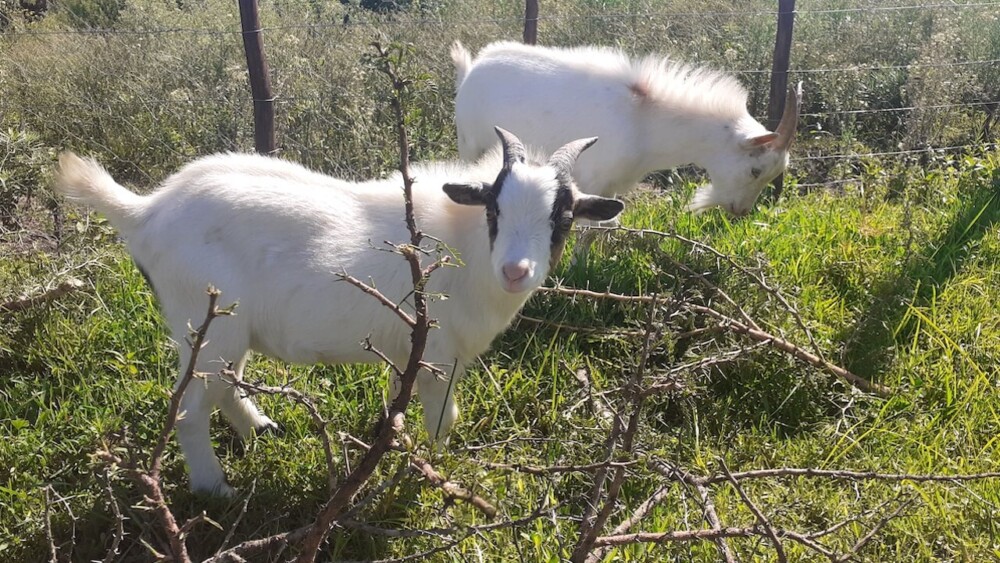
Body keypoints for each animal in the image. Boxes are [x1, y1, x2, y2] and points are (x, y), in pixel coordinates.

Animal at [56, 129, 624, 498]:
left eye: (563, 215)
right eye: (494, 209)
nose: (515, 271)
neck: (463, 249)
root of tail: (144, 212)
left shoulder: (409, 349)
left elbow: (401, 405)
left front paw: (398, 447)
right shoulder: (439, 354)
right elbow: (444, 420)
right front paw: (436, 470)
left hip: (227, 330)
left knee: (227, 386)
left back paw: (261, 429)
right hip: (205, 322)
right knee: (191, 410)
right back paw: (216, 488)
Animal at [454, 40, 804, 217]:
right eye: (756, 170)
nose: (741, 211)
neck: (645, 117)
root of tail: (471, 69)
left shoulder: (611, 186)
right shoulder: (593, 179)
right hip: (469, 143)